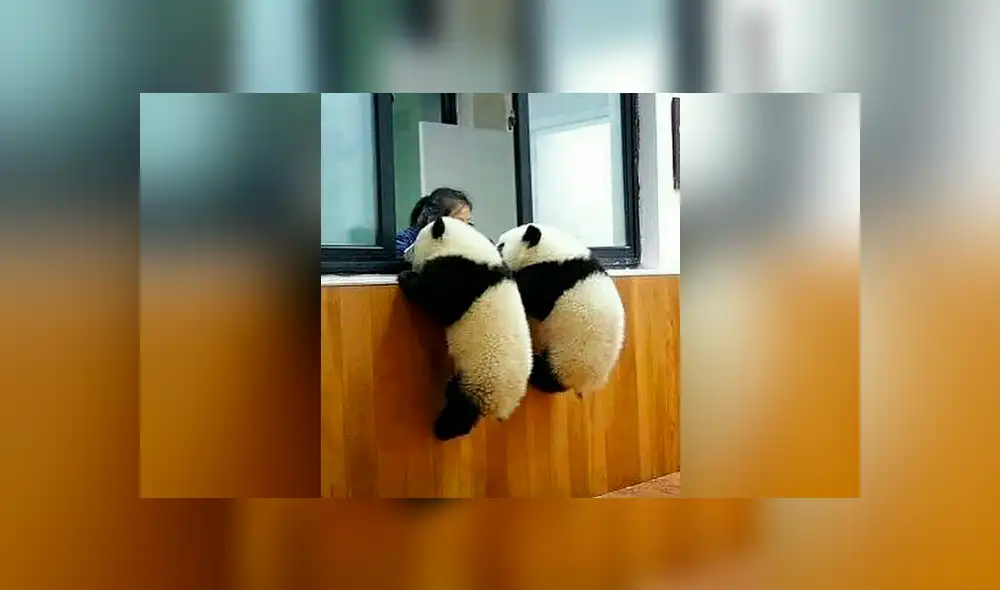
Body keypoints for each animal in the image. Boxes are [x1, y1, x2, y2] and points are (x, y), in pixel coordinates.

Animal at [399, 216, 533, 441]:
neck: (465, 247)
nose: (404, 252)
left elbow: (435, 296)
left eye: (416, 242)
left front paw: (406, 276)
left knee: (462, 407)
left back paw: (443, 429)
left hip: (482, 378)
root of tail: (506, 405)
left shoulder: (460, 277)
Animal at [495, 223, 626, 398]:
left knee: (548, 375)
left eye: (501, 246)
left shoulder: (552, 276)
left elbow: (534, 300)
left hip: (567, 355)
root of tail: (585, 384)